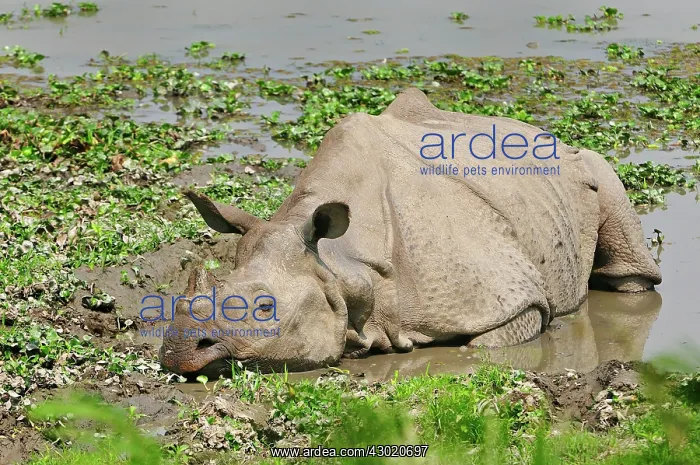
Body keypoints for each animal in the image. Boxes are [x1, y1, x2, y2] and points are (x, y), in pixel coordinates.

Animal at [159, 88, 661, 377]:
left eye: (265, 308)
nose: (180, 350)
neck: (340, 266)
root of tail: (542, 131)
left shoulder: (511, 297)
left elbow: (487, 343)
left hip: (584, 164)